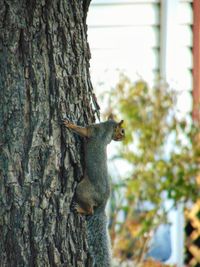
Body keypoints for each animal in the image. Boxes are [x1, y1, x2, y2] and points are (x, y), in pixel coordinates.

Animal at [63, 117, 125, 267]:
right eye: (122, 131)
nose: (122, 138)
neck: (107, 128)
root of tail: (103, 204)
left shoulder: (93, 131)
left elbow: (83, 130)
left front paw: (69, 125)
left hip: (82, 190)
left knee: (90, 210)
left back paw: (80, 209)